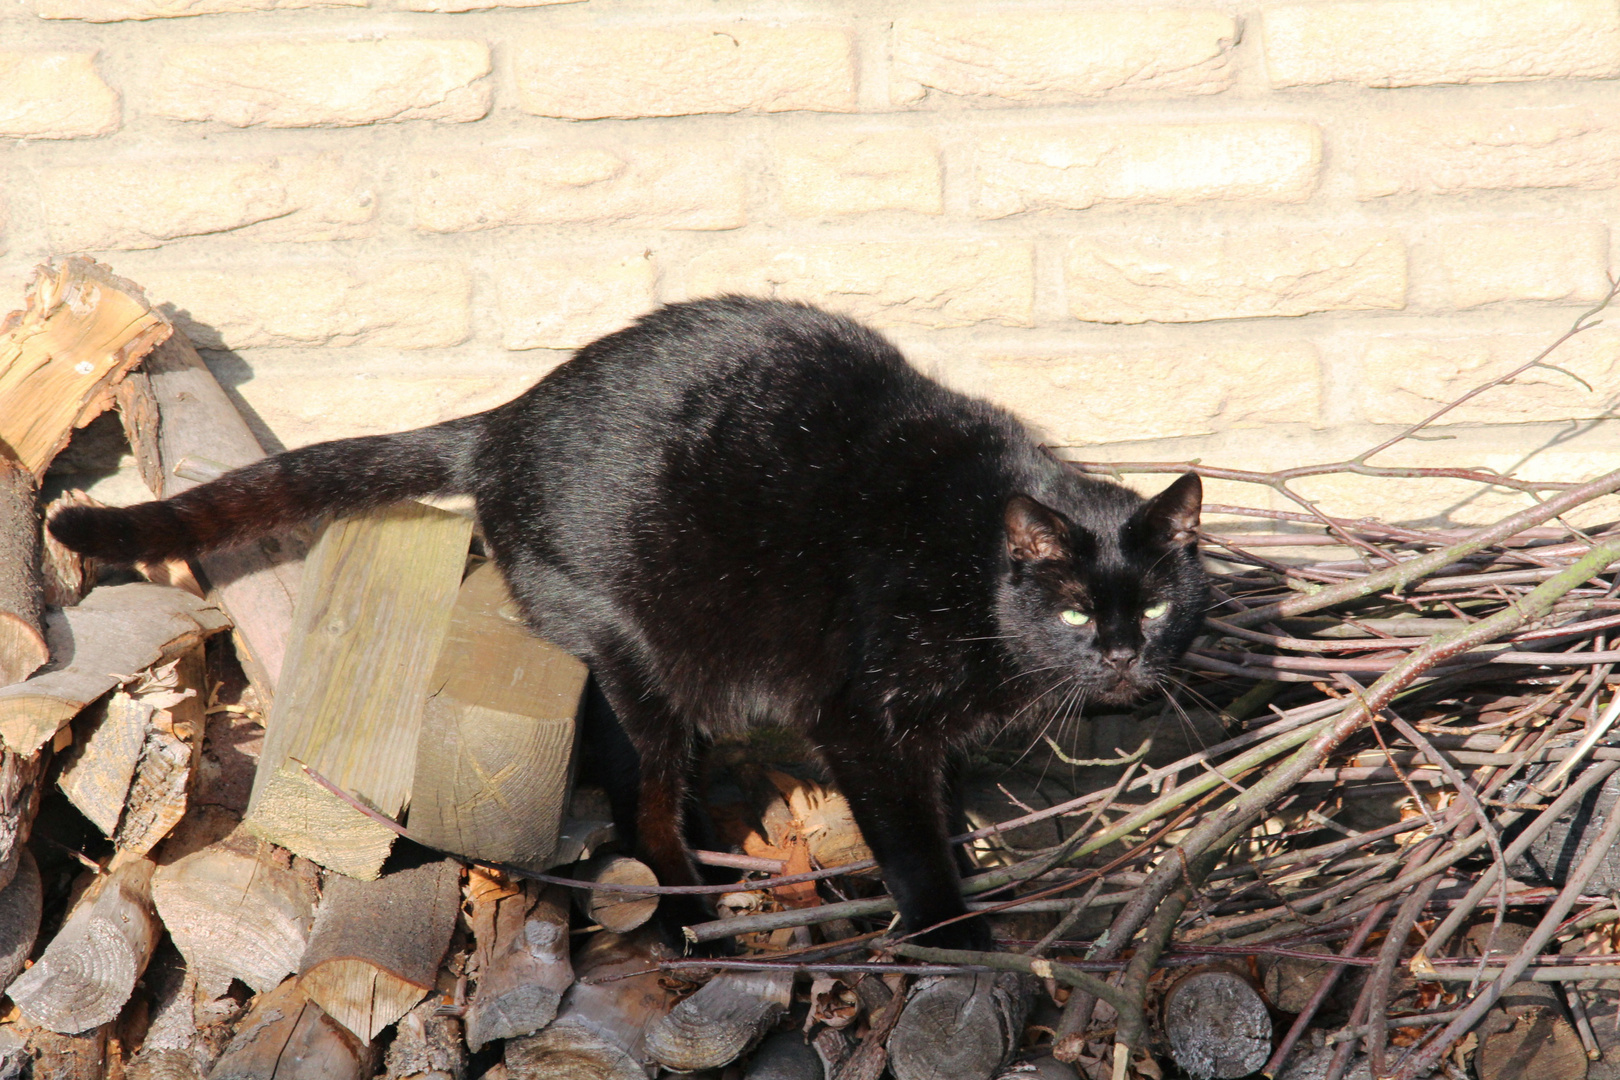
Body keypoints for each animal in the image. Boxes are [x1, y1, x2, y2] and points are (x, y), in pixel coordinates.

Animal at [50, 296, 1205, 945]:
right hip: (639, 663)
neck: (970, 570)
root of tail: (506, 422)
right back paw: (691, 922)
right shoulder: (862, 723)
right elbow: (909, 840)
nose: (1120, 655)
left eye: (1153, 604)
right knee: (641, 805)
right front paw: (958, 939)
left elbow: (944, 802)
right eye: (1071, 609)